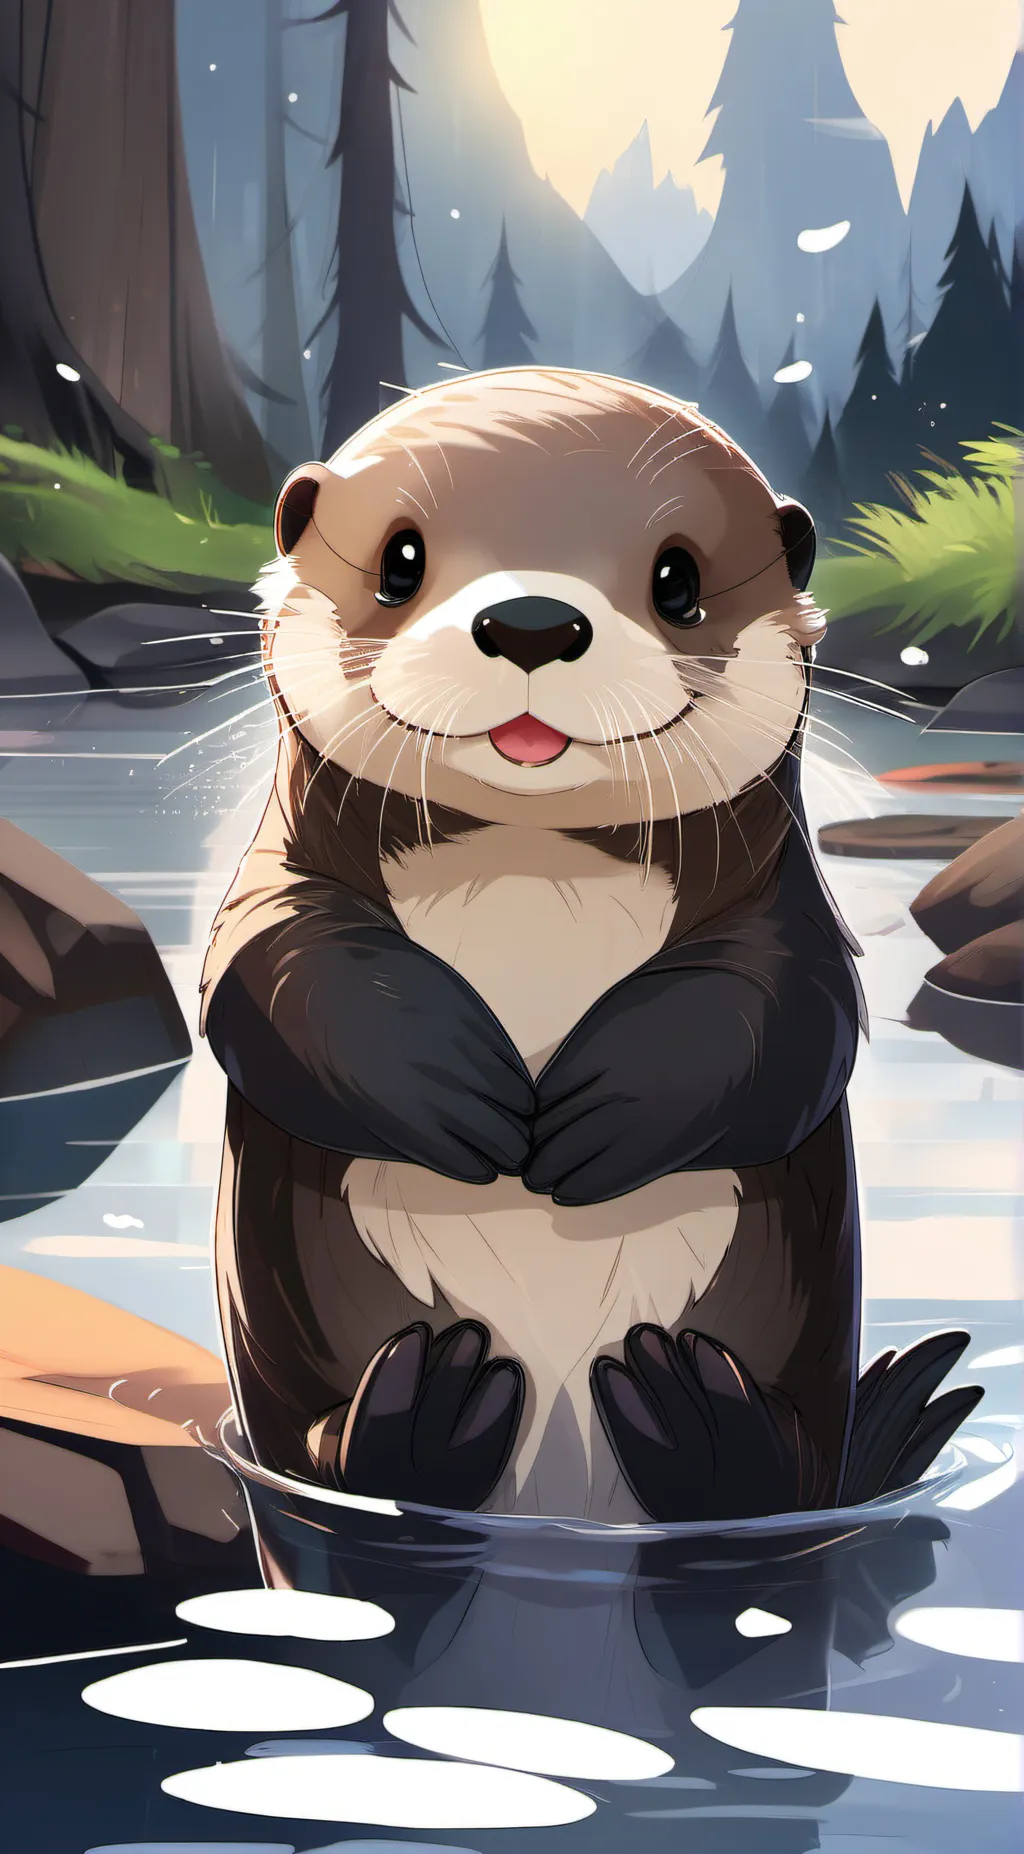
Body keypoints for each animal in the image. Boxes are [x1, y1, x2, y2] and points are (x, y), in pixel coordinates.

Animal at [201, 367, 980, 1525]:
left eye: (677, 579)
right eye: (399, 560)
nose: (532, 620)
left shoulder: (789, 904)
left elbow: (795, 1010)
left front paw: (601, 1112)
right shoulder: (279, 868)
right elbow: (262, 969)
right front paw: (458, 1090)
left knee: (780, 1469)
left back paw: (690, 1409)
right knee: (321, 1451)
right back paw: (427, 1404)